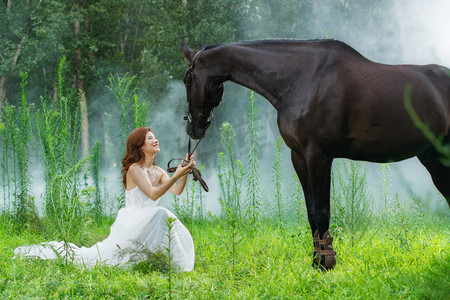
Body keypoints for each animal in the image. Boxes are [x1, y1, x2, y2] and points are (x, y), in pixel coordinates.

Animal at [181, 39, 448, 270]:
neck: (298, 79)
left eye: (187, 79)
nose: (194, 128)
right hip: (434, 158)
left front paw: (326, 263)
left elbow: (322, 210)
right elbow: (311, 211)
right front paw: (316, 260)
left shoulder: (318, 155)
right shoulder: (298, 156)